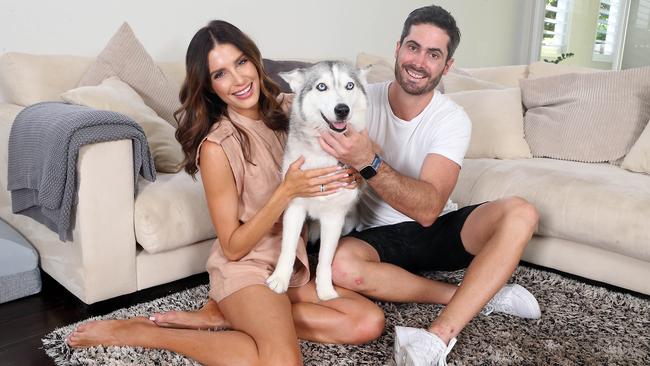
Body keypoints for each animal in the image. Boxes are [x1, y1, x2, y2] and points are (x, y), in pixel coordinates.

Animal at [264, 62, 364, 300]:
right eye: (321, 86)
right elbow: (288, 248)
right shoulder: (294, 207)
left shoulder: (334, 218)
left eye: (350, 85)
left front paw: (325, 290)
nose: (342, 109)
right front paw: (280, 279)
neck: (322, 156)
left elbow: (325, 259)